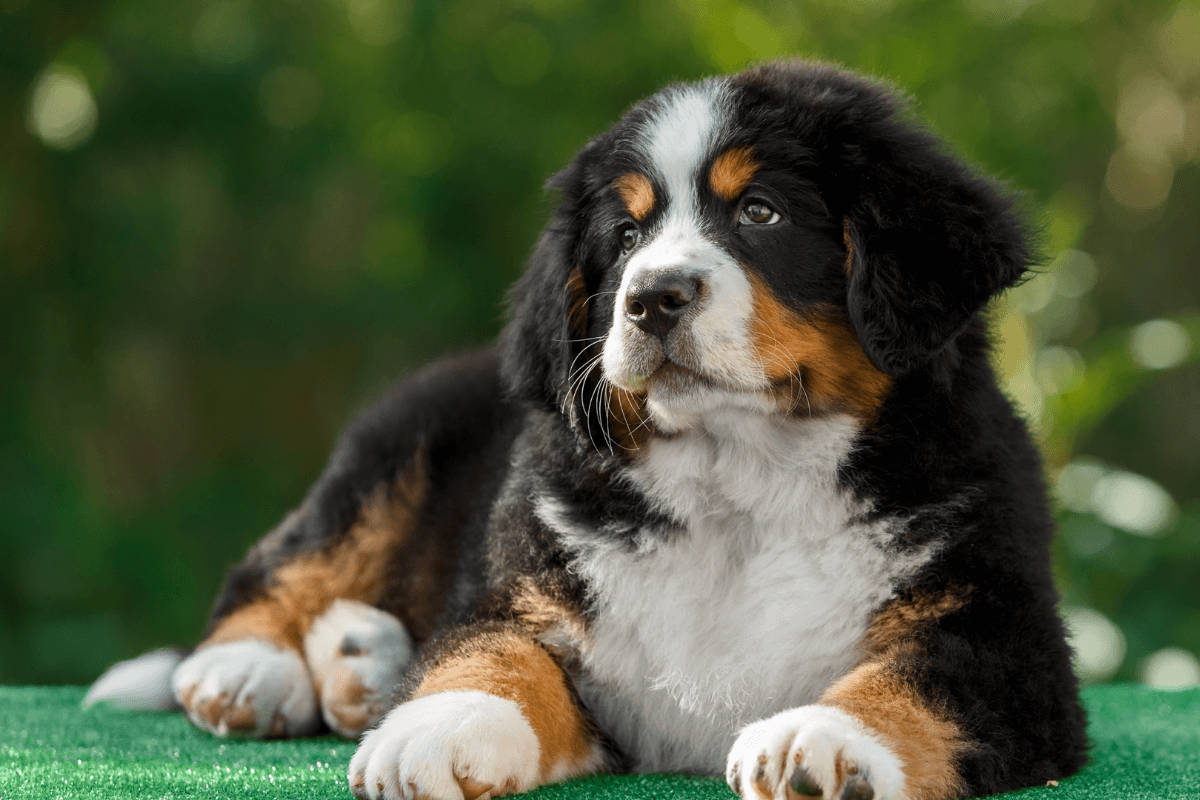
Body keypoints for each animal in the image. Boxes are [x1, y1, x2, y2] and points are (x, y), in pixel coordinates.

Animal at [91, 61, 1089, 800]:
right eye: (627, 233)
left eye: (760, 212)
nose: (652, 298)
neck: (743, 482)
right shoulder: (531, 588)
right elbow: (494, 651)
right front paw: (436, 725)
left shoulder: (1007, 637)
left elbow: (917, 676)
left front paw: (824, 740)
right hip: (392, 452)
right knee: (282, 564)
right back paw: (253, 671)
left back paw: (361, 664)